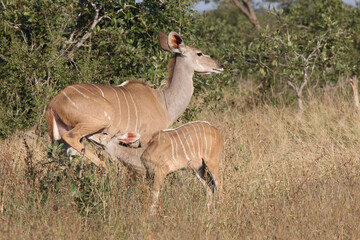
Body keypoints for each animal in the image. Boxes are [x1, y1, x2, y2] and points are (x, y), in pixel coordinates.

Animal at [46, 31, 224, 172]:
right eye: (199, 53)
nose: (220, 65)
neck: (164, 101)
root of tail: (54, 102)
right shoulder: (146, 138)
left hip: (58, 138)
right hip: (95, 123)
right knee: (71, 138)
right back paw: (104, 168)